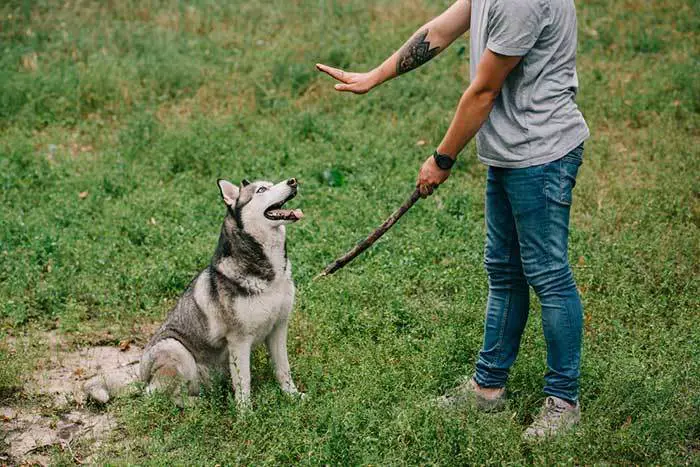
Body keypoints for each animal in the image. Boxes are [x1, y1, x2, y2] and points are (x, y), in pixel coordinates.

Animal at [85, 177, 304, 408]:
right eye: (261, 190)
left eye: (272, 182)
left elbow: (283, 369)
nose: (293, 181)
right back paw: (197, 404)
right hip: (175, 348)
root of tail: (141, 377)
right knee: (160, 396)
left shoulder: (278, 329)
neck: (270, 273)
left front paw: (293, 396)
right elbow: (244, 382)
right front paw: (246, 413)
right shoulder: (239, 340)